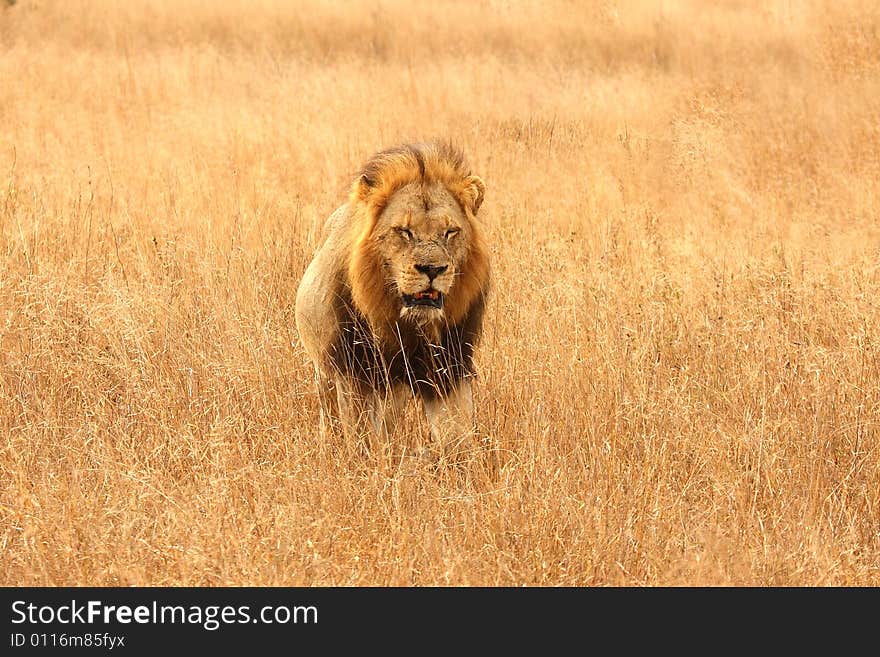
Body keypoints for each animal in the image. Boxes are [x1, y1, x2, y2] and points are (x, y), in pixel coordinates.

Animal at [294, 142, 488, 456]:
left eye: (450, 232)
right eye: (404, 231)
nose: (432, 269)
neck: (405, 324)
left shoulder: (449, 367)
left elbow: (456, 434)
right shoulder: (354, 374)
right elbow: (359, 436)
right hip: (328, 373)